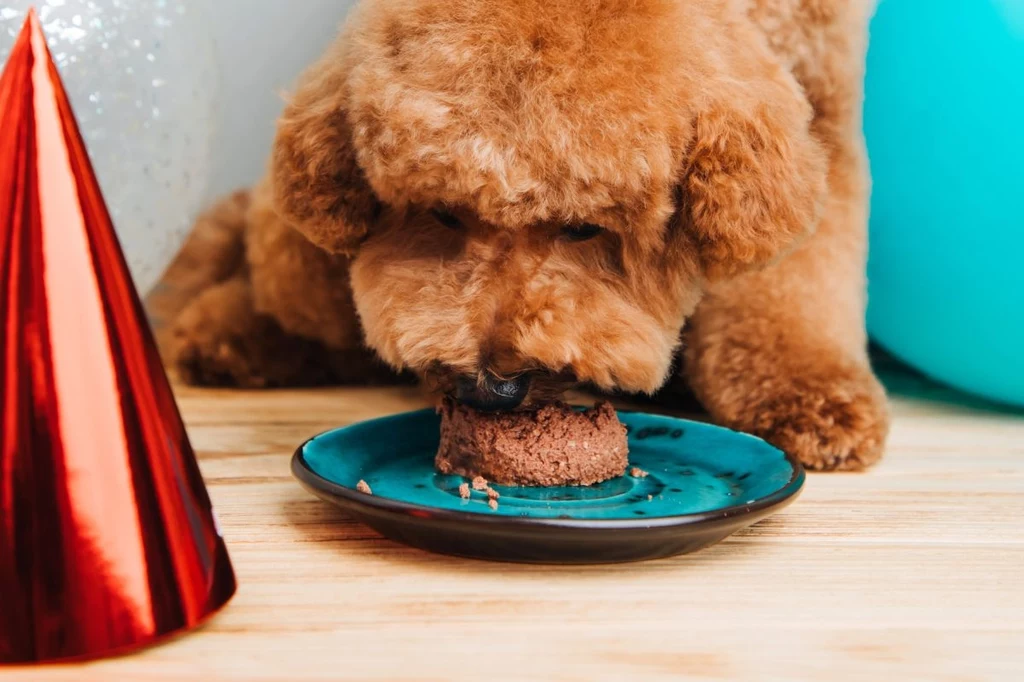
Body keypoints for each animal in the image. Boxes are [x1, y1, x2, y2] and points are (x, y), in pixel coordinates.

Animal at [151, 0, 888, 471]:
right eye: (444, 213)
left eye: (586, 227)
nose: (491, 388)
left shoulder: (824, 111)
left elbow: (792, 286)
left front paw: (812, 399)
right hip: (292, 253)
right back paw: (229, 334)